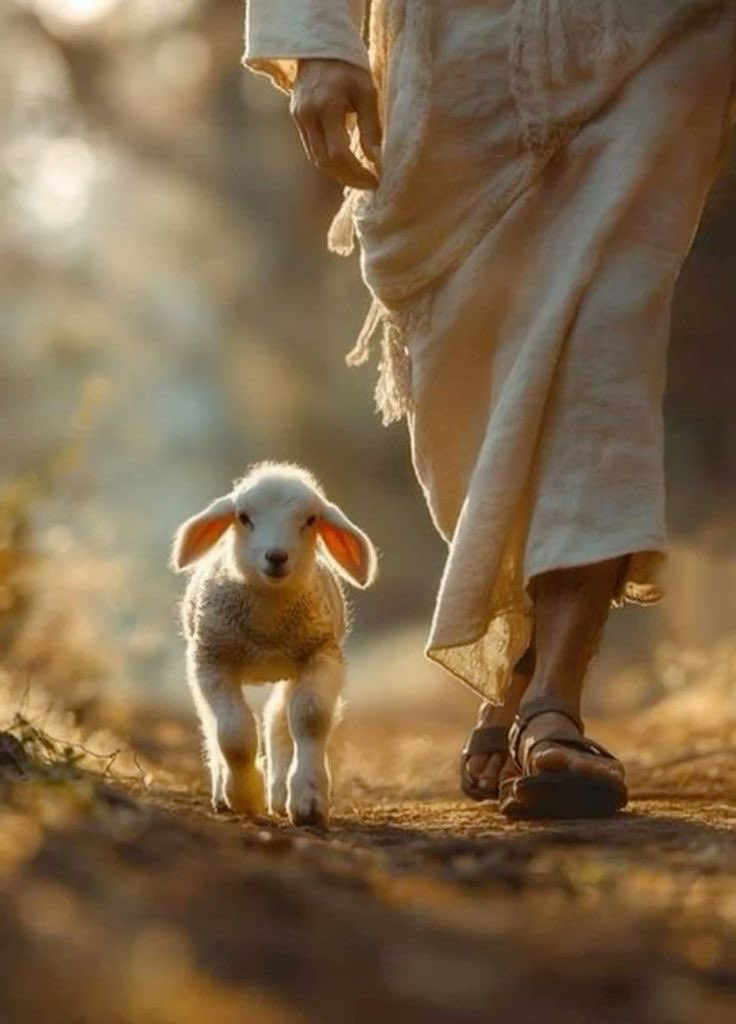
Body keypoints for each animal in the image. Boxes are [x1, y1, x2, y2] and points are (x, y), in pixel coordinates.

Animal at [170, 463, 377, 828]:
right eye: (243, 517)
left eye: (310, 519)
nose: (276, 556)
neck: (268, 625)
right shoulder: (212, 659)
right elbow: (234, 733)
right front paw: (244, 795)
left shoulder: (321, 654)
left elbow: (310, 718)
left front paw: (309, 802)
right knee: (214, 725)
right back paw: (222, 793)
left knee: (278, 717)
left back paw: (280, 794)